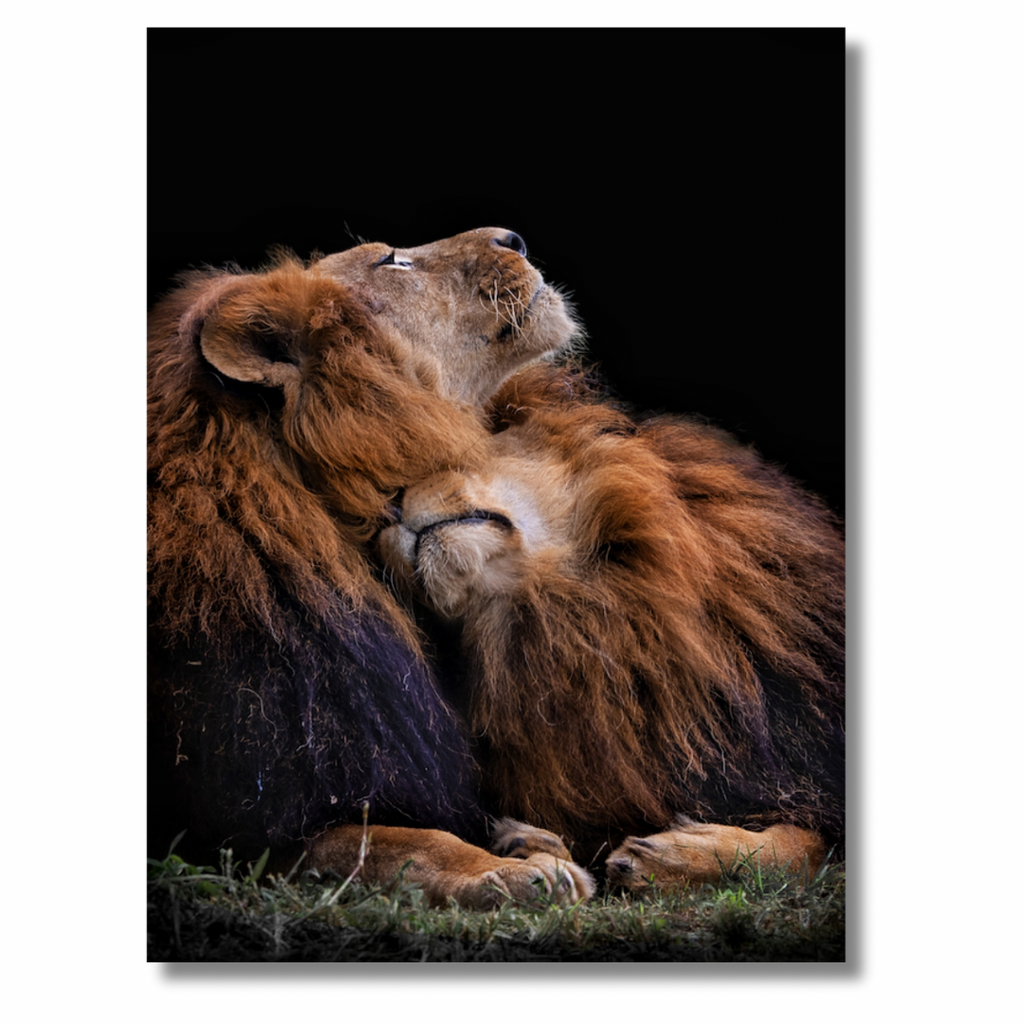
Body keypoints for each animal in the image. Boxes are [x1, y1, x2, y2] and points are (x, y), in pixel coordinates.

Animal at [148, 228, 596, 907]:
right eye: (390, 260)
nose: (513, 238)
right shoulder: (248, 835)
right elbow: (400, 843)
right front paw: (507, 870)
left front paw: (525, 840)